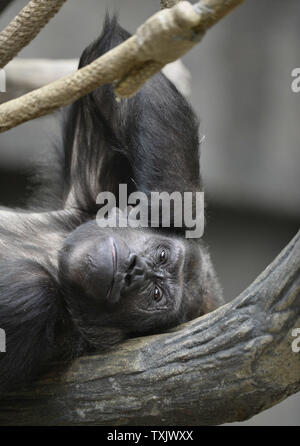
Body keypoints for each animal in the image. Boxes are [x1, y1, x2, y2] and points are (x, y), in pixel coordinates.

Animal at [0, 16, 223, 394]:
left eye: (156, 294)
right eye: (161, 255)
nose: (136, 270)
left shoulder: (31, 307)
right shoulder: (91, 196)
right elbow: (112, 68)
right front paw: (166, 208)